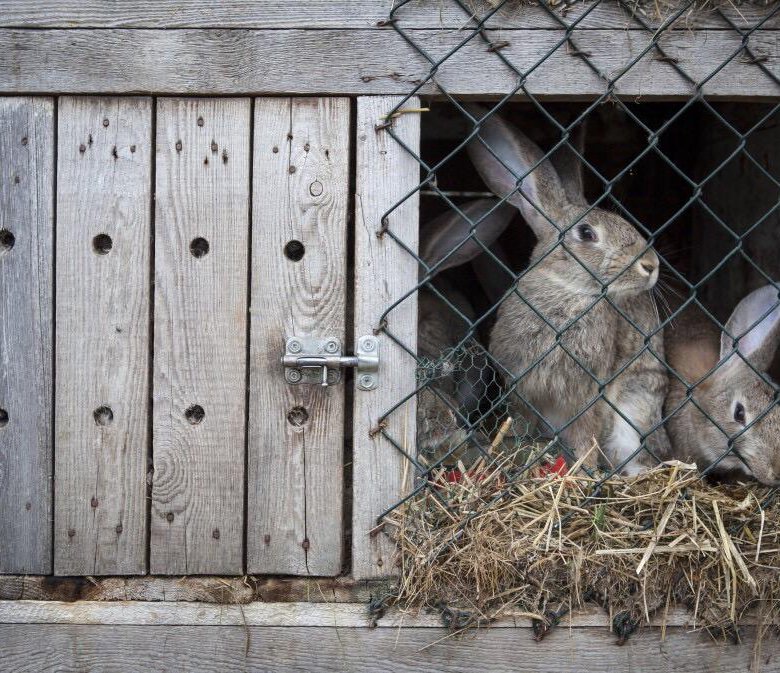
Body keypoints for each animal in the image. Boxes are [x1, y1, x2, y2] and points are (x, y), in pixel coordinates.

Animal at [464, 106, 672, 472]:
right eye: (587, 233)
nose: (651, 265)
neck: (568, 291)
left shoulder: (590, 394)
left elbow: (586, 432)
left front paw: (583, 470)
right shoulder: (521, 389)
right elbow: (522, 421)